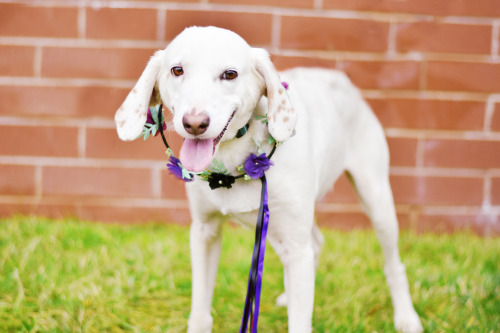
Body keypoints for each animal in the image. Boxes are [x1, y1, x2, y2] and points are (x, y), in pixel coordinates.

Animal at [116, 26, 422, 332]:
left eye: (230, 74)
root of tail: (340, 79)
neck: (232, 160)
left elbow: (300, 321)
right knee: (316, 243)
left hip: (376, 202)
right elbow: (200, 313)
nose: (194, 123)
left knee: (393, 264)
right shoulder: (205, 232)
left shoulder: (295, 247)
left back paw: (406, 317)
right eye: (177, 70)